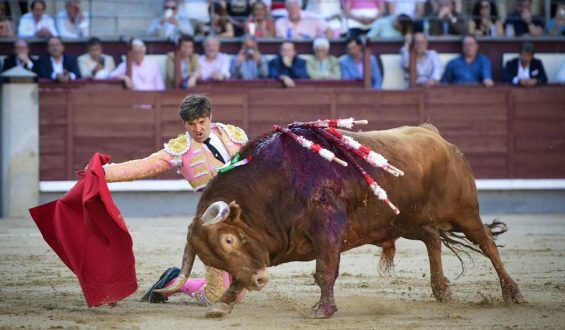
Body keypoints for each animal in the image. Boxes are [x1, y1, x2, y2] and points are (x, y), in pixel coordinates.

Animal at [155, 123, 524, 318]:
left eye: (229, 240)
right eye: (213, 258)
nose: (260, 281)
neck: (276, 182)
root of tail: (434, 134)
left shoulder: (328, 226)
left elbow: (325, 269)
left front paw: (323, 310)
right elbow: (239, 276)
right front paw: (222, 304)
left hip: (464, 212)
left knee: (487, 244)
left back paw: (513, 294)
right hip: (407, 220)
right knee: (433, 239)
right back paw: (441, 291)